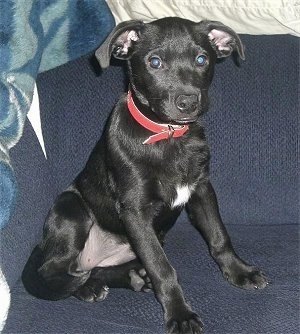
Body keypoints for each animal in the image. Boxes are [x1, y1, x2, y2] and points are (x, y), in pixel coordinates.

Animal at [22, 17, 268, 334]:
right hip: (72, 210)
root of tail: (42, 245)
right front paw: (180, 313)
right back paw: (88, 287)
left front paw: (240, 272)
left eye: (201, 59)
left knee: (94, 268)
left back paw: (134, 278)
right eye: (155, 62)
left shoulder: (201, 189)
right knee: (59, 270)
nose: (188, 101)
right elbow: (162, 268)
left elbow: (218, 236)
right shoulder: (135, 212)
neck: (169, 136)